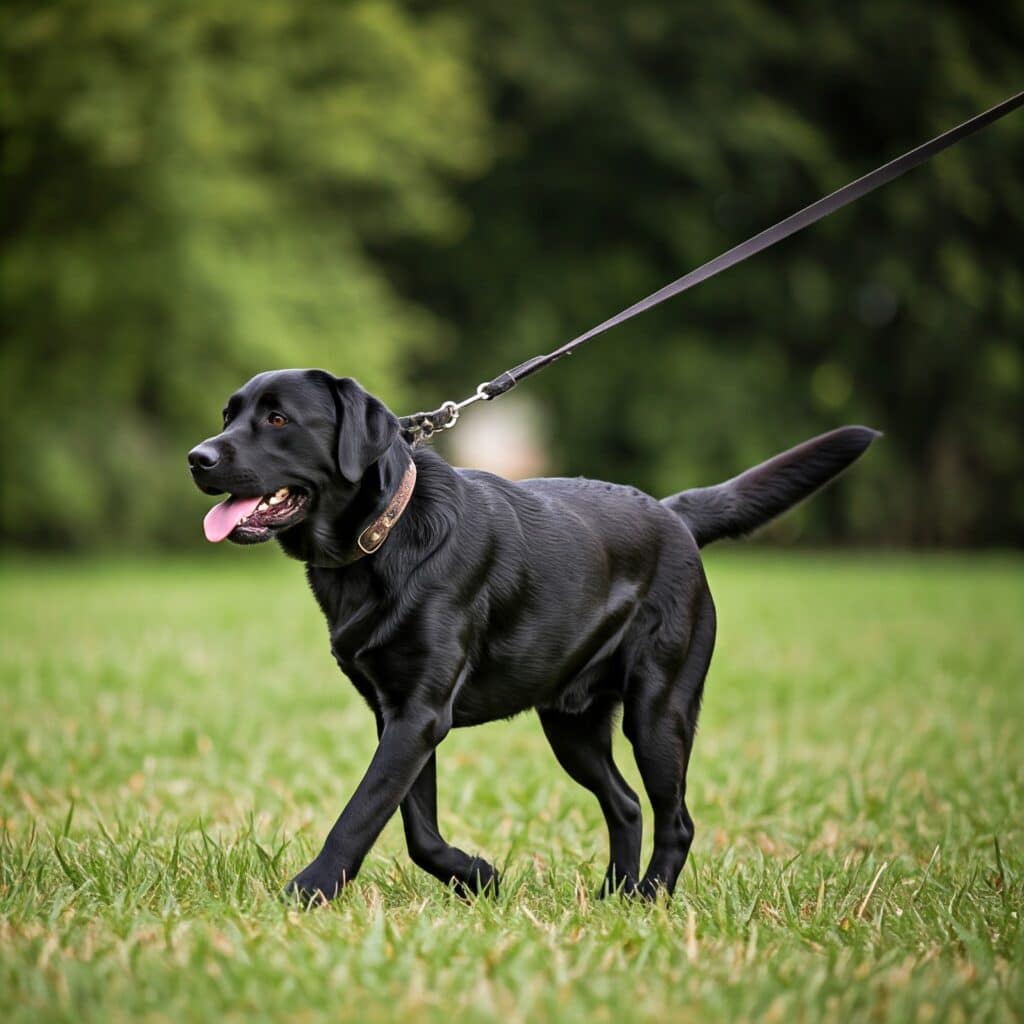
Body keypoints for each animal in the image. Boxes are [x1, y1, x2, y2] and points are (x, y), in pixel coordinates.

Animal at [188, 368, 876, 905]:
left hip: (659, 710)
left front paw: (309, 890)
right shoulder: (399, 716)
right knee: (625, 804)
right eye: (228, 414)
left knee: (675, 818)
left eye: (278, 418)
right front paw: (478, 877)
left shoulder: (420, 714)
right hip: (571, 725)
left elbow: (361, 815)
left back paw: (651, 898)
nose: (199, 458)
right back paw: (616, 898)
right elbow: (416, 829)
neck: (381, 537)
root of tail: (671, 512)